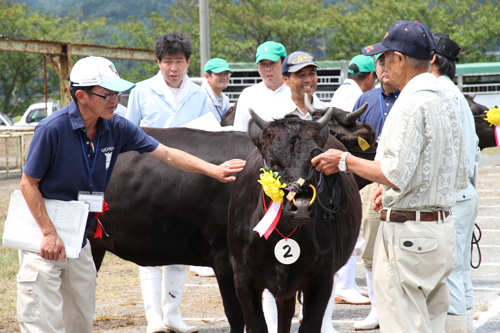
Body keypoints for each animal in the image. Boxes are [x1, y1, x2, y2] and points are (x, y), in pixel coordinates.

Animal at [229, 108, 362, 330]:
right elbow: (257, 324)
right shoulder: (243, 276)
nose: (300, 206)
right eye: (272, 161)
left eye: (316, 161)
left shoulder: (322, 278)